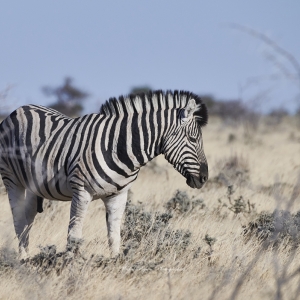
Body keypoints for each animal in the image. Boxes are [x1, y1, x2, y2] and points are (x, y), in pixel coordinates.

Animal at [0, 89, 209, 258]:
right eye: (192, 139)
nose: (204, 178)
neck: (120, 147)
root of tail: (19, 109)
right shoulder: (81, 191)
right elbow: (74, 234)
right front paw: (70, 266)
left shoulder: (119, 195)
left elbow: (114, 235)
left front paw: (115, 265)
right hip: (12, 179)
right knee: (18, 219)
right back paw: (23, 260)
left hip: (33, 183)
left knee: (27, 218)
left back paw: (27, 255)